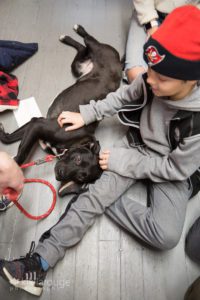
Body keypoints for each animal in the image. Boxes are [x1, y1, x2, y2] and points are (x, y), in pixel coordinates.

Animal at [0, 24, 122, 196]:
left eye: (80, 177)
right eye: (78, 159)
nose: (60, 174)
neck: (71, 145)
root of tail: (119, 62)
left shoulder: (36, 123)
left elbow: (12, 140)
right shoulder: (38, 124)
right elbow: (19, 151)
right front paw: (13, 168)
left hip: (76, 67)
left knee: (82, 48)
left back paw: (67, 37)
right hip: (96, 50)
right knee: (88, 41)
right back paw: (77, 30)